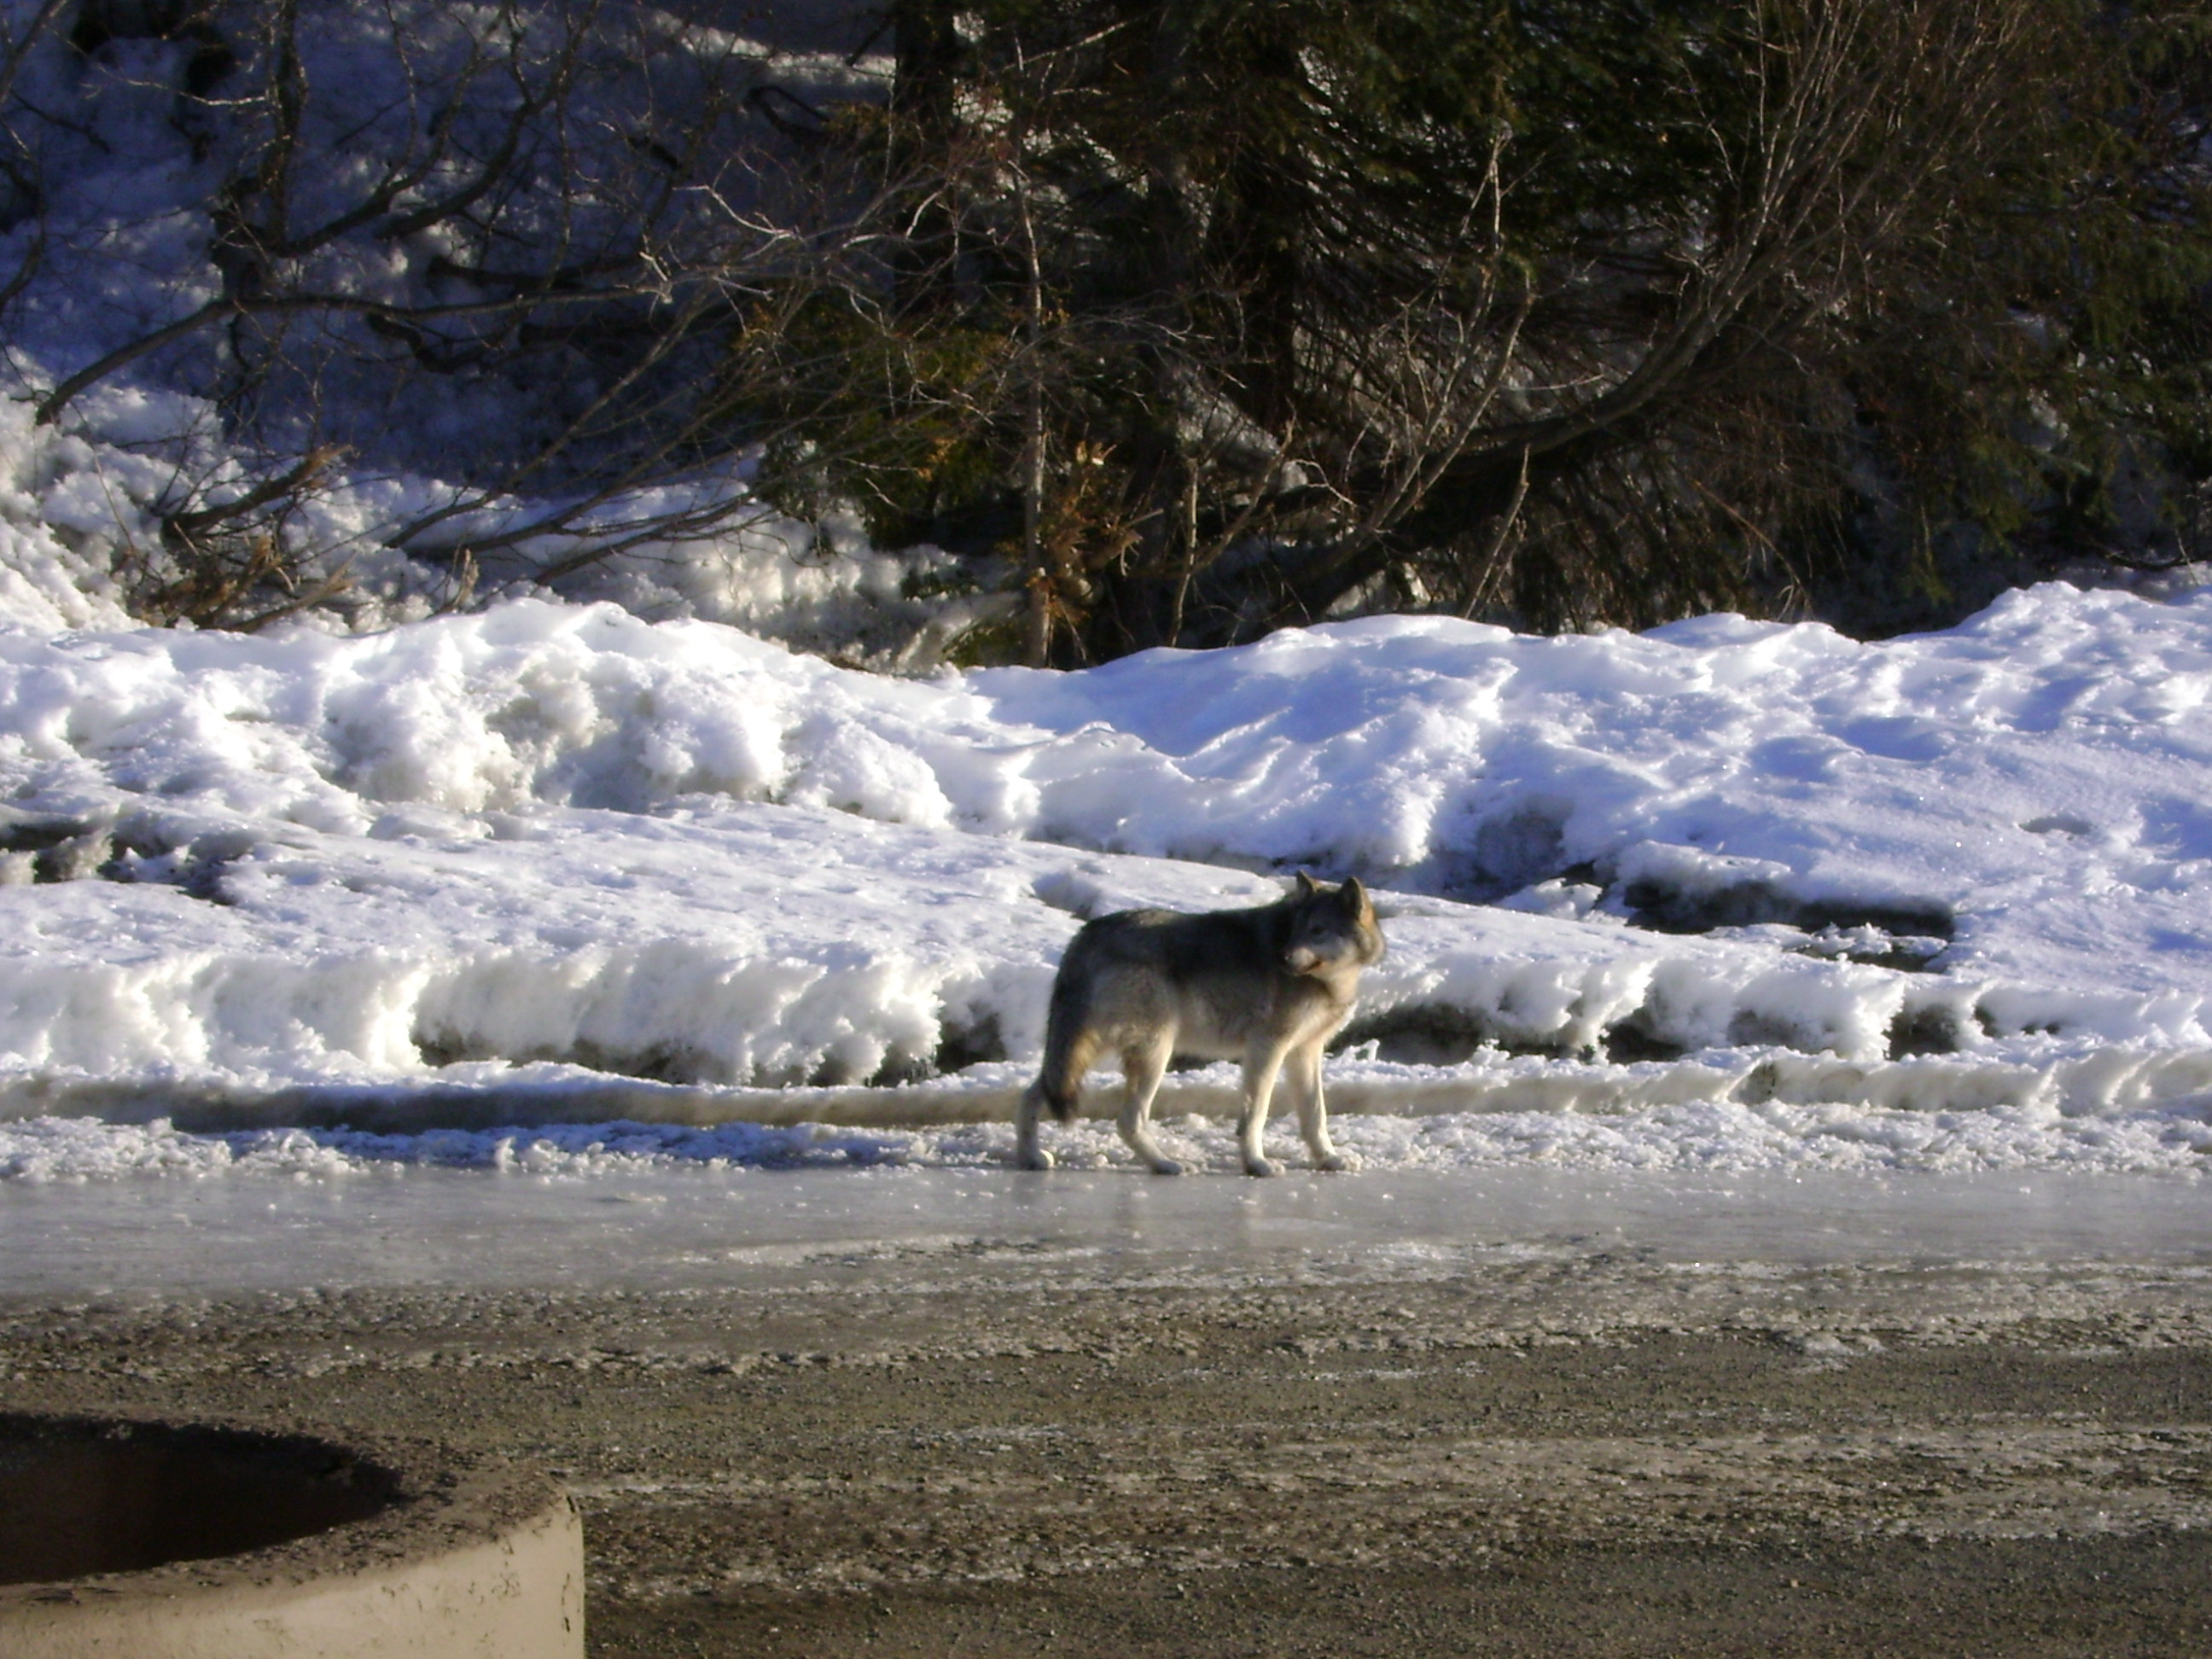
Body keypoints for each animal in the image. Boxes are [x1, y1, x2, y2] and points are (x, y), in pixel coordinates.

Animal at [1013, 876, 1380, 1176]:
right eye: (1296, 930)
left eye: (1318, 930)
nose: (1283, 958)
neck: (1330, 980)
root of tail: (1083, 936)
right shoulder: (1267, 1048)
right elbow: (1256, 1114)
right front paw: (1257, 1164)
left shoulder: (1306, 1051)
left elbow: (1315, 1115)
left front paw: (1328, 1159)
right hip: (1154, 1053)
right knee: (1128, 1120)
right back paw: (1166, 1165)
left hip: (1087, 1056)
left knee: (1031, 1095)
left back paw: (1031, 1158)